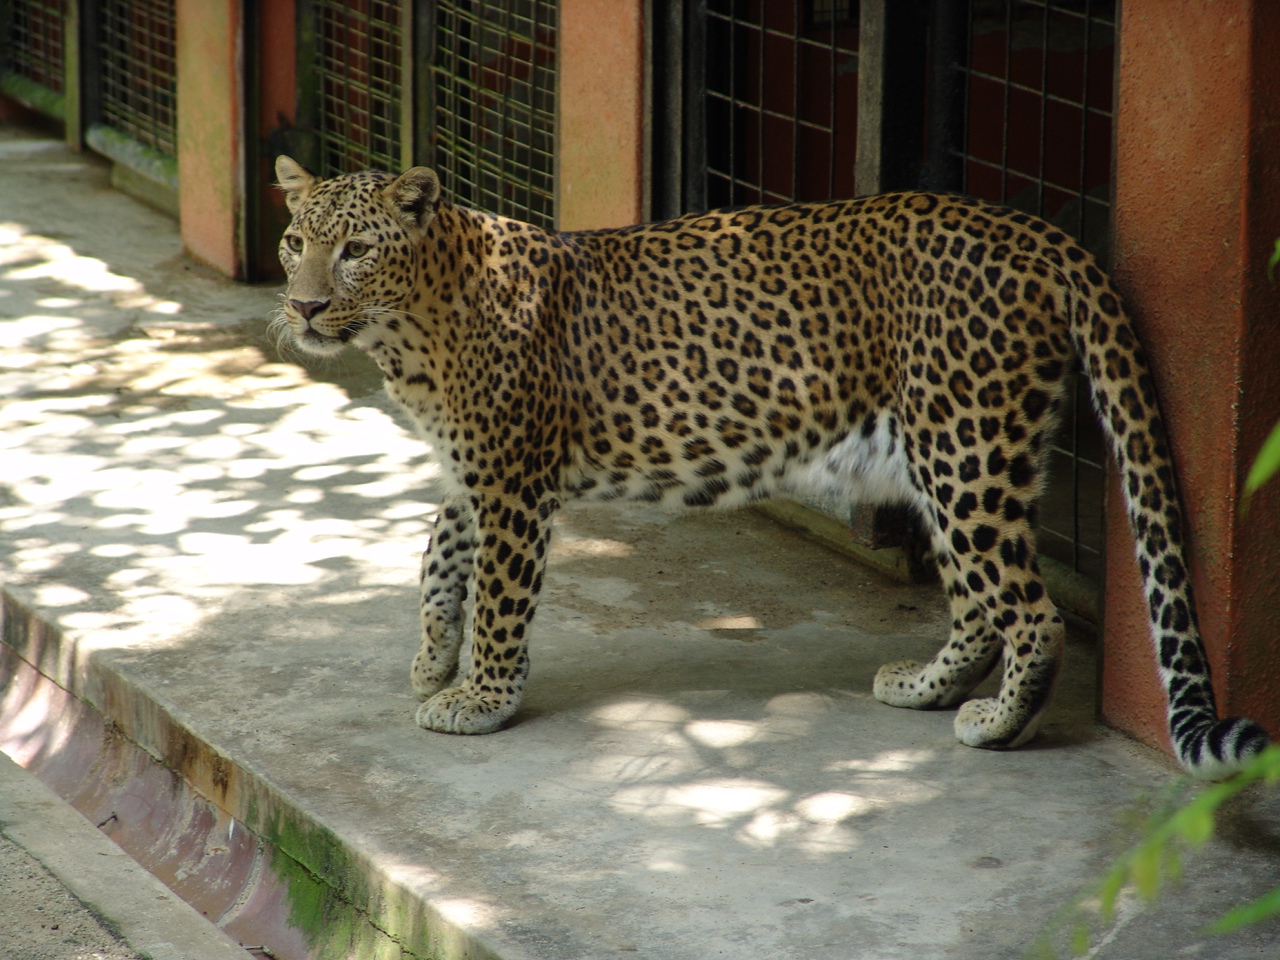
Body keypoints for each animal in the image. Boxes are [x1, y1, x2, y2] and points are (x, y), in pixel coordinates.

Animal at [272, 154, 1267, 778]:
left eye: (355, 249)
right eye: (295, 242)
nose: (303, 305)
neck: (405, 333)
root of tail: (1036, 233)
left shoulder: (513, 477)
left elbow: (501, 597)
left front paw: (480, 698)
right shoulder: (474, 469)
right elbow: (439, 557)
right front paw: (433, 658)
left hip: (964, 444)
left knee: (1032, 610)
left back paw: (994, 724)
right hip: (946, 455)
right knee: (980, 601)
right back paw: (925, 689)